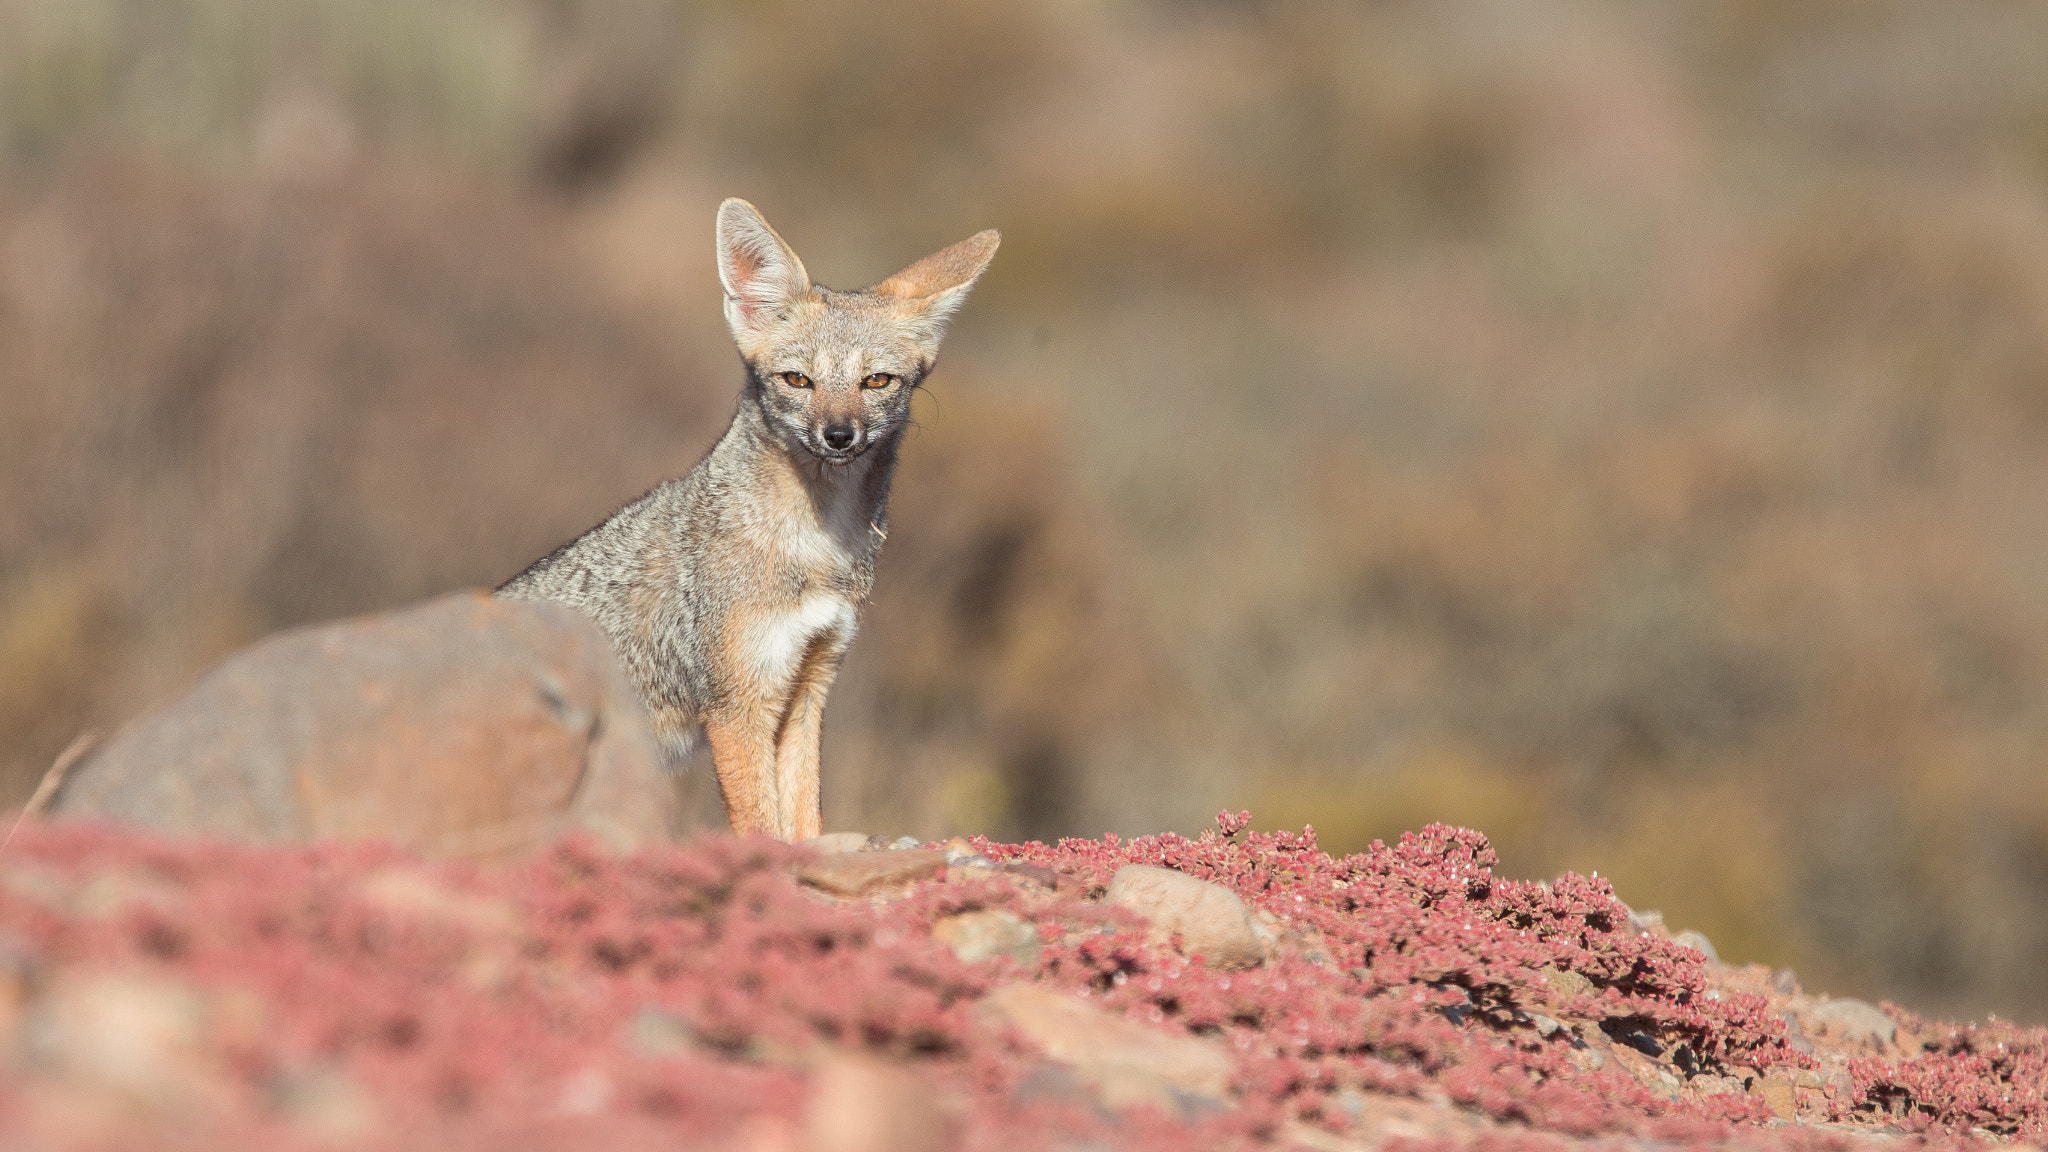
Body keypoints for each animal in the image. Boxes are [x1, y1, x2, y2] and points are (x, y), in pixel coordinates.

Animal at [499, 199, 1003, 832]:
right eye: (798, 380)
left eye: (876, 381)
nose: (839, 436)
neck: (815, 544)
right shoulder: (737, 705)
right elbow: (761, 827)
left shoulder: (807, 688)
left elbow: (803, 822)